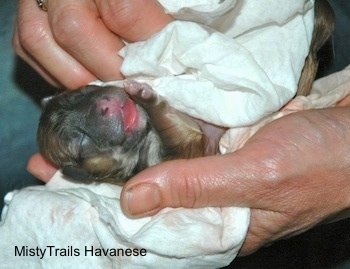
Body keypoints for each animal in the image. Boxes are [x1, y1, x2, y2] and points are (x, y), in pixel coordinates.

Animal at [37, 80, 224, 183]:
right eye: (83, 140)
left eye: (83, 93)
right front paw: (144, 96)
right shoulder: (175, 154)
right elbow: (170, 126)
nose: (104, 106)